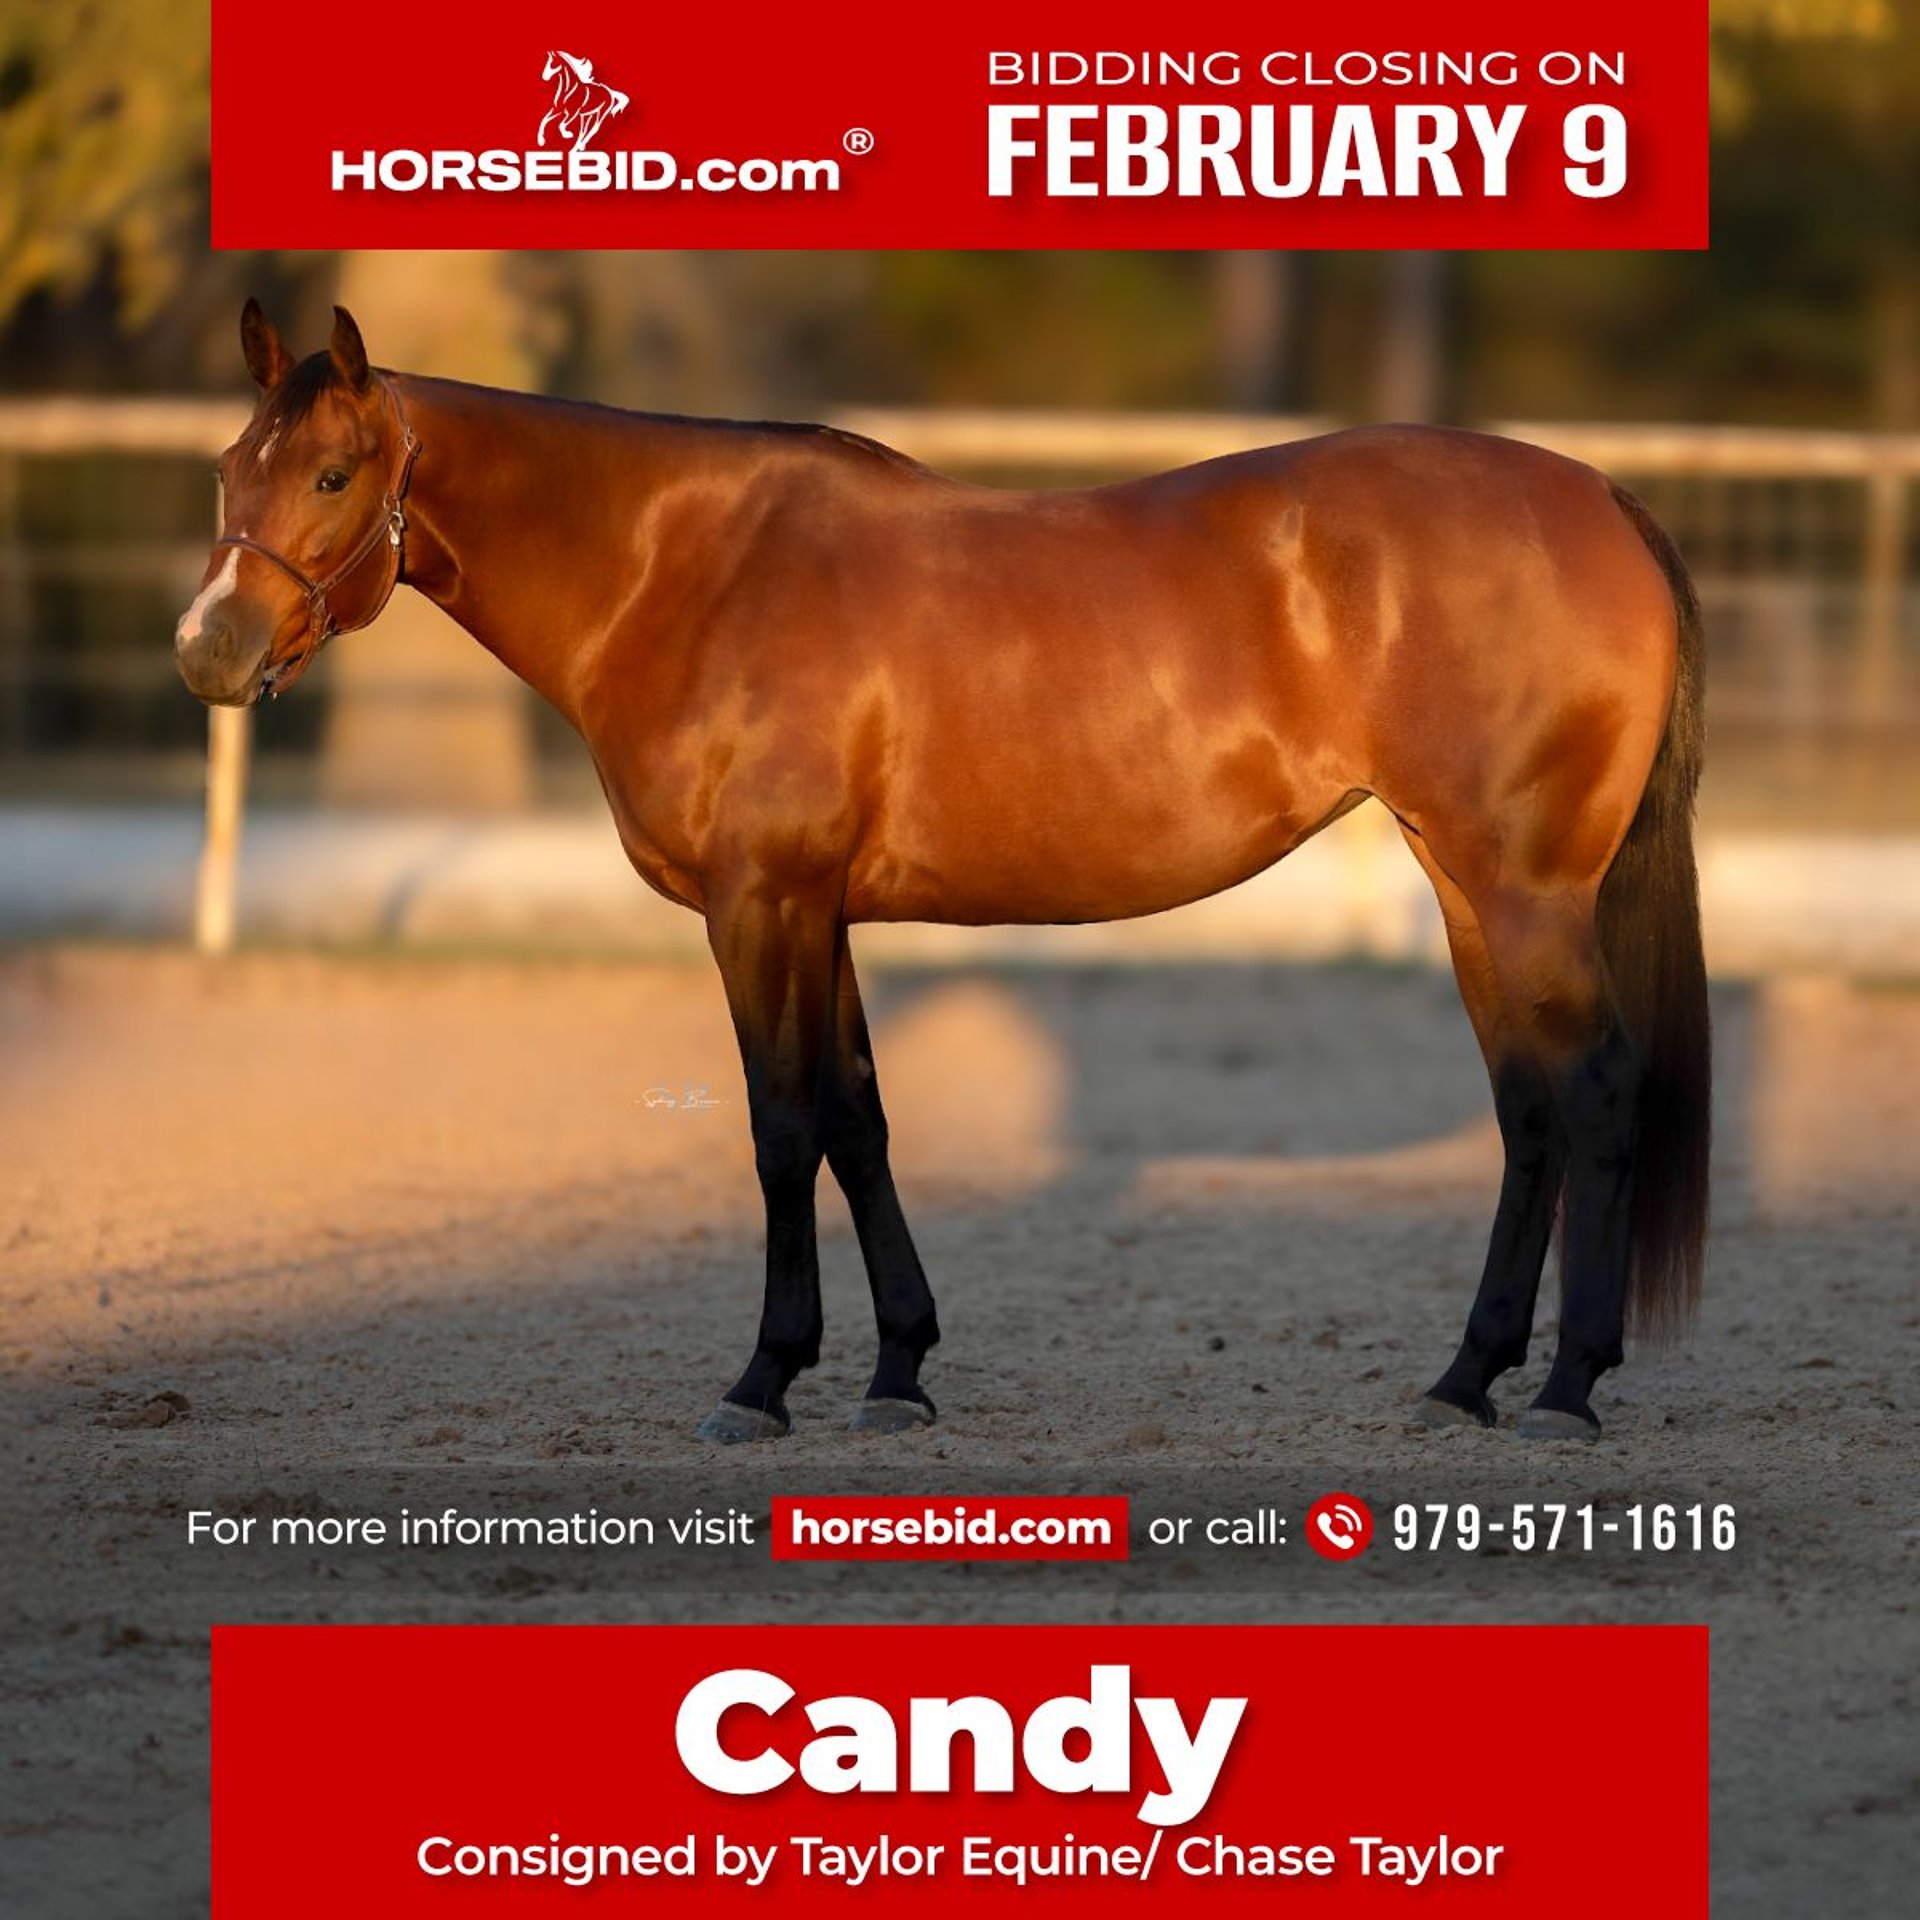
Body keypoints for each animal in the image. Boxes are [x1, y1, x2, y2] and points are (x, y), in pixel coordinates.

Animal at [175, 302, 1710, 1445]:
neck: (689, 572)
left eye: (330, 476)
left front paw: (762, 1383)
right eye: (228, 473)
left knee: (1596, 1088)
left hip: (1522, 892)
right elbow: (859, 1119)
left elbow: (782, 1126)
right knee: (1527, 1107)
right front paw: (897, 1372)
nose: (208, 653)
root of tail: (1598, 496)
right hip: (1470, 889)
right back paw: (1467, 1381)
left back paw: (1568, 1391)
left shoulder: (760, 906)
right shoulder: (820, 911)